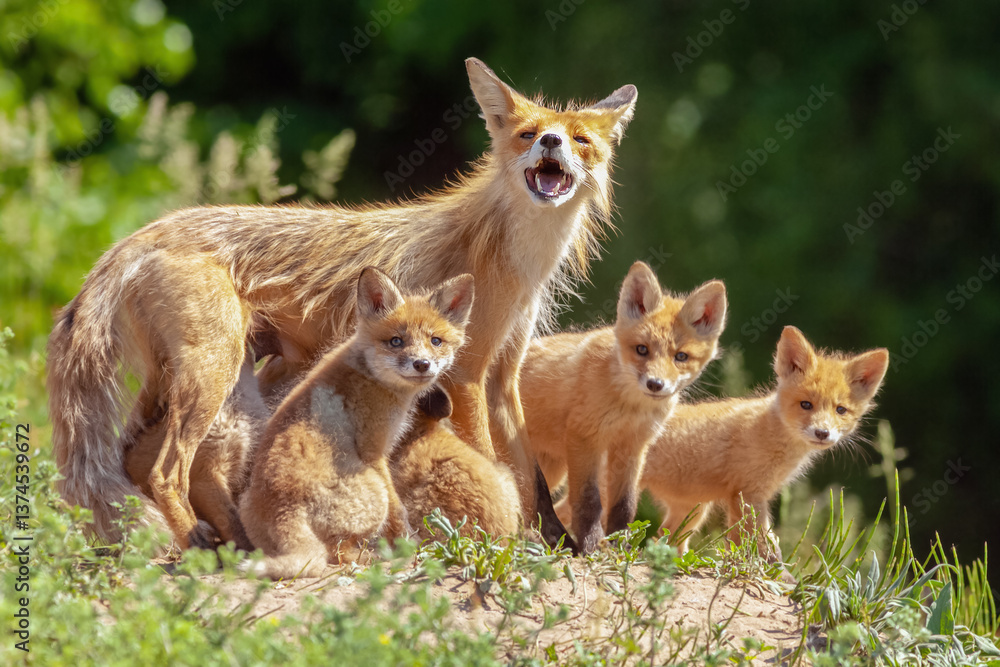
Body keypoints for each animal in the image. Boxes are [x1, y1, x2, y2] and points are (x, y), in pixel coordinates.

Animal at [239, 268, 473, 579]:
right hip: (373, 489)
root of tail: (284, 508)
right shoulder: (376, 452)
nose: (422, 364)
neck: (369, 372)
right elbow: (400, 514)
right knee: (335, 555)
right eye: (396, 341)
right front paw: (411, 546)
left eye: (436, 341)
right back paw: (371, 559)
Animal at [520, 261, 728, 554]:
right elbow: (589, 502)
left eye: (681, 357)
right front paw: (591, 546)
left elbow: (625, 505)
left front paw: (621, 546)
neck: (630, 407)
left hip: (552, 470)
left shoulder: (633, 446)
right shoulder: (585, 438)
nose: (655, 384)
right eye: (642, 349)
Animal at [640, 325, 890, 559]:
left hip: (693, 508)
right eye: (806, 405)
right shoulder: (746, 494)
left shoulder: (752, 495)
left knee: (663, 538)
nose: (822, 432)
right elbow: (757, 543)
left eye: (840, 410)